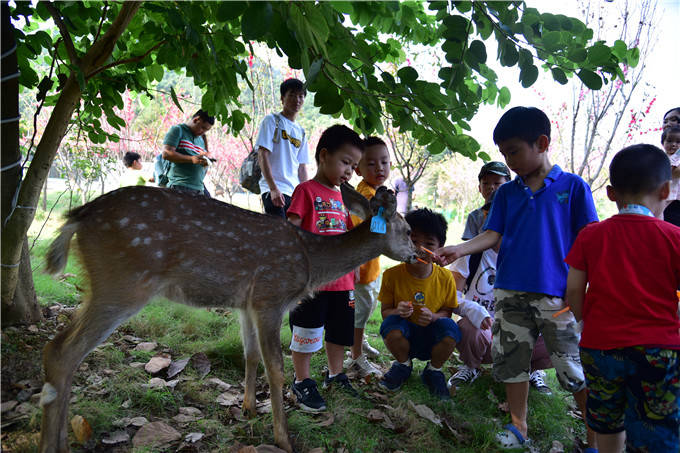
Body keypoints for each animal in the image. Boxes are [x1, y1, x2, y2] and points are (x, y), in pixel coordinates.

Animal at [39, 184, 418, 452]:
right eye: (407, 230)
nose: (416, 255)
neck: (310, 262)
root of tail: (78, 216)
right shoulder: (270, 295)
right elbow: (276, 368)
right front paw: (283, 438)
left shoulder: (245, 304)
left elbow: (250, 355)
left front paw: (248, 408)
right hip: (124, 281)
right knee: (62, 351)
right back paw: (53, 445)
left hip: (106, 284)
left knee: (60, 350)